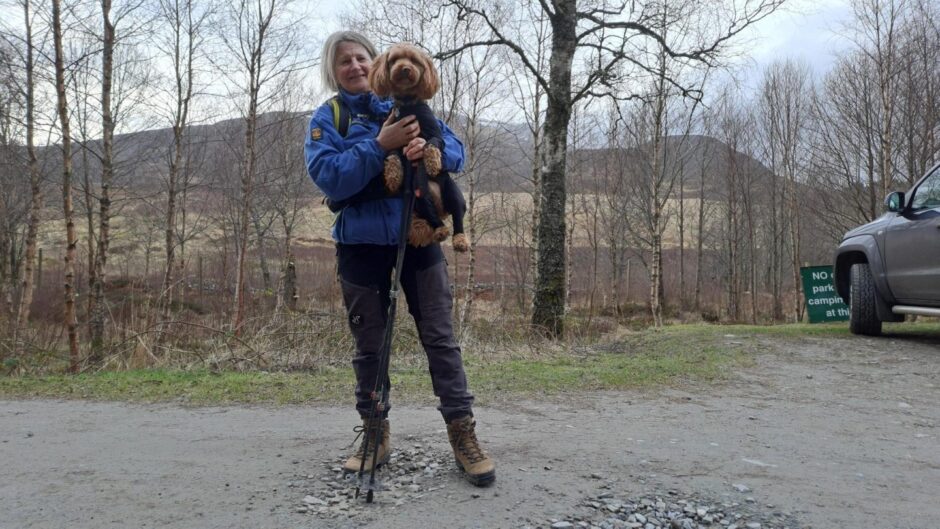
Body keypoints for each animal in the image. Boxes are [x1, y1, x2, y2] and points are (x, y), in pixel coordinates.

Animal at [370, 42, 468, 253]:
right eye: (394, 60)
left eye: (415, 60)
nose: (405, 68)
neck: (408, 104)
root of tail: (440, 205)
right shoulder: (394, 138)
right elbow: (392, 156)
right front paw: (393, 177)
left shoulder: (436, 134)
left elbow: (430, 144)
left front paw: (431, 163)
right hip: (420, 196)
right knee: (434, 218)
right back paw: (440, 231)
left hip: (453, 194)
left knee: (458, 217)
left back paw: (460, 240)